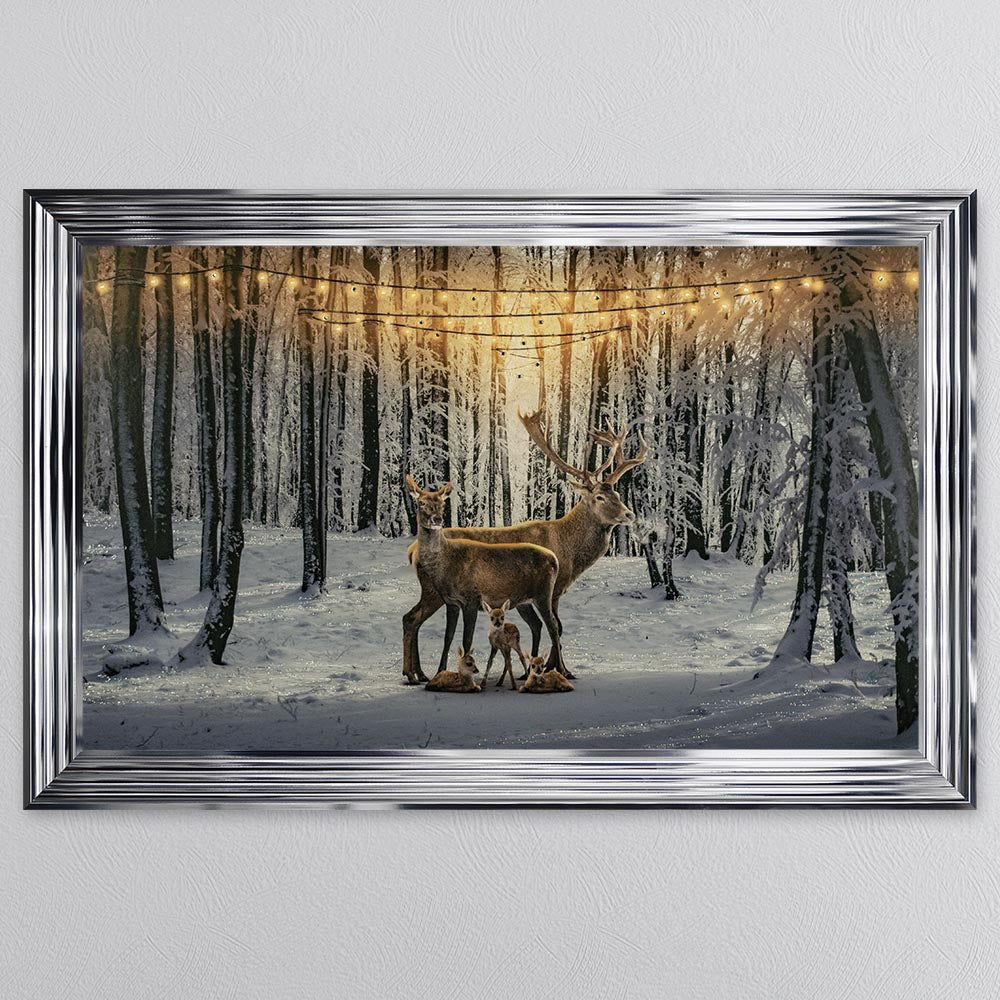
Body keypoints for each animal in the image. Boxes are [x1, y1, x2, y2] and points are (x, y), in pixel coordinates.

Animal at [405, 475, 566, 680]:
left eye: (442, 504)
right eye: (421, 503)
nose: (437, 519)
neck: (446, 563)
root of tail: (554, 559)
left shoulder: (472, 599)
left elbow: (467, 639)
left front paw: (466, 672)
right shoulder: (451, 601)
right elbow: (448, 637)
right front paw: (440, 671)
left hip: (543, 594)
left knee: (553, 626)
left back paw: (561, 670)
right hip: (524, 601)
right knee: (537, 624)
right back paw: (529, 672)